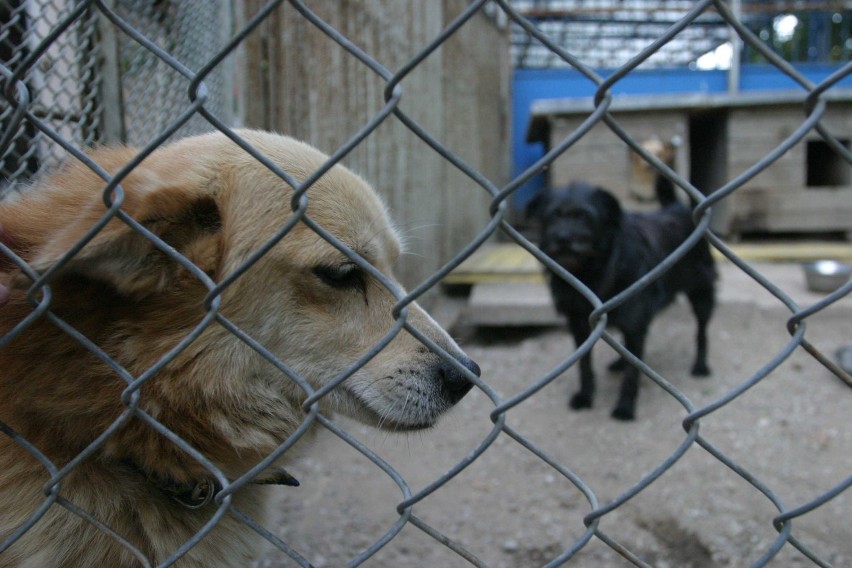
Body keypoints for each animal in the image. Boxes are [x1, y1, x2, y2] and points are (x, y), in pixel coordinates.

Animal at [528, 180, 716, 420]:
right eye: (552, 216)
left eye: (586, 216)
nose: (562, 238)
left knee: (701, 332)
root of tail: (675, 207)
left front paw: (625, 407)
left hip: (701, 294)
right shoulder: (579, 324)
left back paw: (700, 365)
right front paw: (585, 396)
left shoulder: (634, 321)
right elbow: (584, 365)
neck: (589, 272)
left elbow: (631, 374)